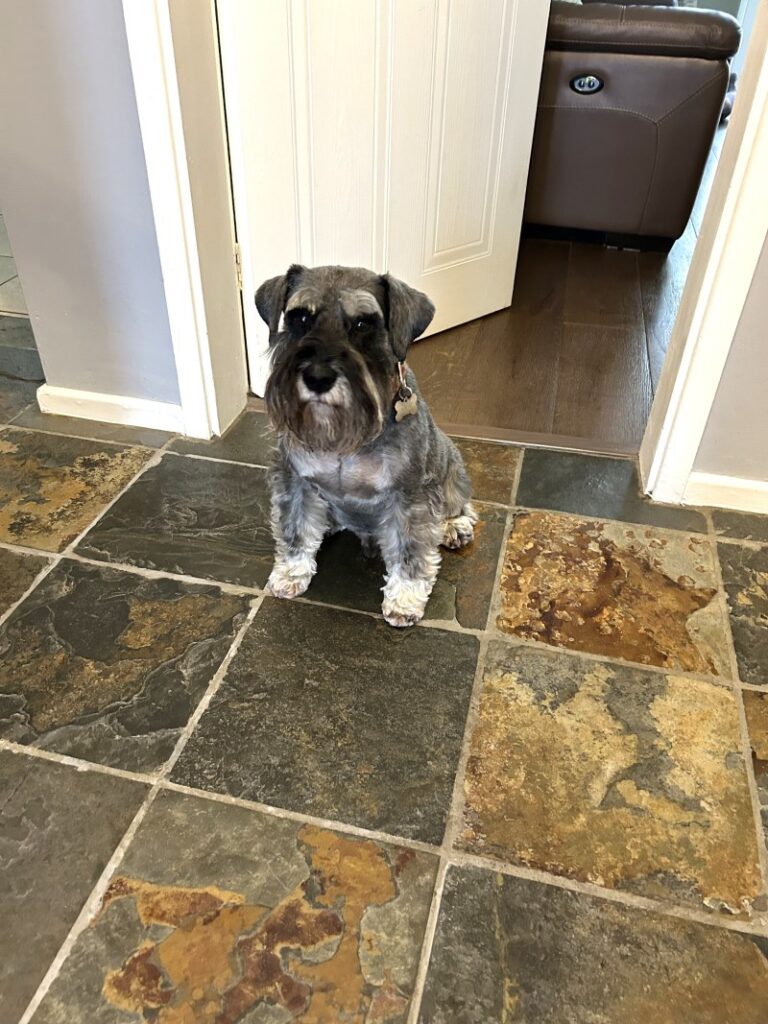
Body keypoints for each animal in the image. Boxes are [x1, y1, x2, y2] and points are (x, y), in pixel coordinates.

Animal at [256, 264, 479, 626]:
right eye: (300, 317)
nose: (317, 377)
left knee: (459, 505)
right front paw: (290, 573)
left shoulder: (410, 494)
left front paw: (404, 599)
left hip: (451, 469)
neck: (344, 439)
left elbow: (410, 549)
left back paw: (454, 527)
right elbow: (296, 529)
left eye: (362, 323)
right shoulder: (295, 480)